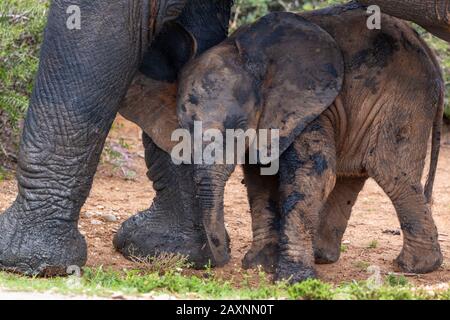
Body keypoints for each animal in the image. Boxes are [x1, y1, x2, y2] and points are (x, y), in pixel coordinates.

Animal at [174, 5, 444, 282]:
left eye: (239, 124)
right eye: (182, 127)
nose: (219, 254)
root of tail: (426, 48)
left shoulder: (311, 106)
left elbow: (310, 175)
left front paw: (291, 278)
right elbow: (260, 176)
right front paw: (261, 265)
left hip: (405, 97)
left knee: (390, 172)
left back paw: (415, 266)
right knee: (351, 177)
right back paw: (322, 256)